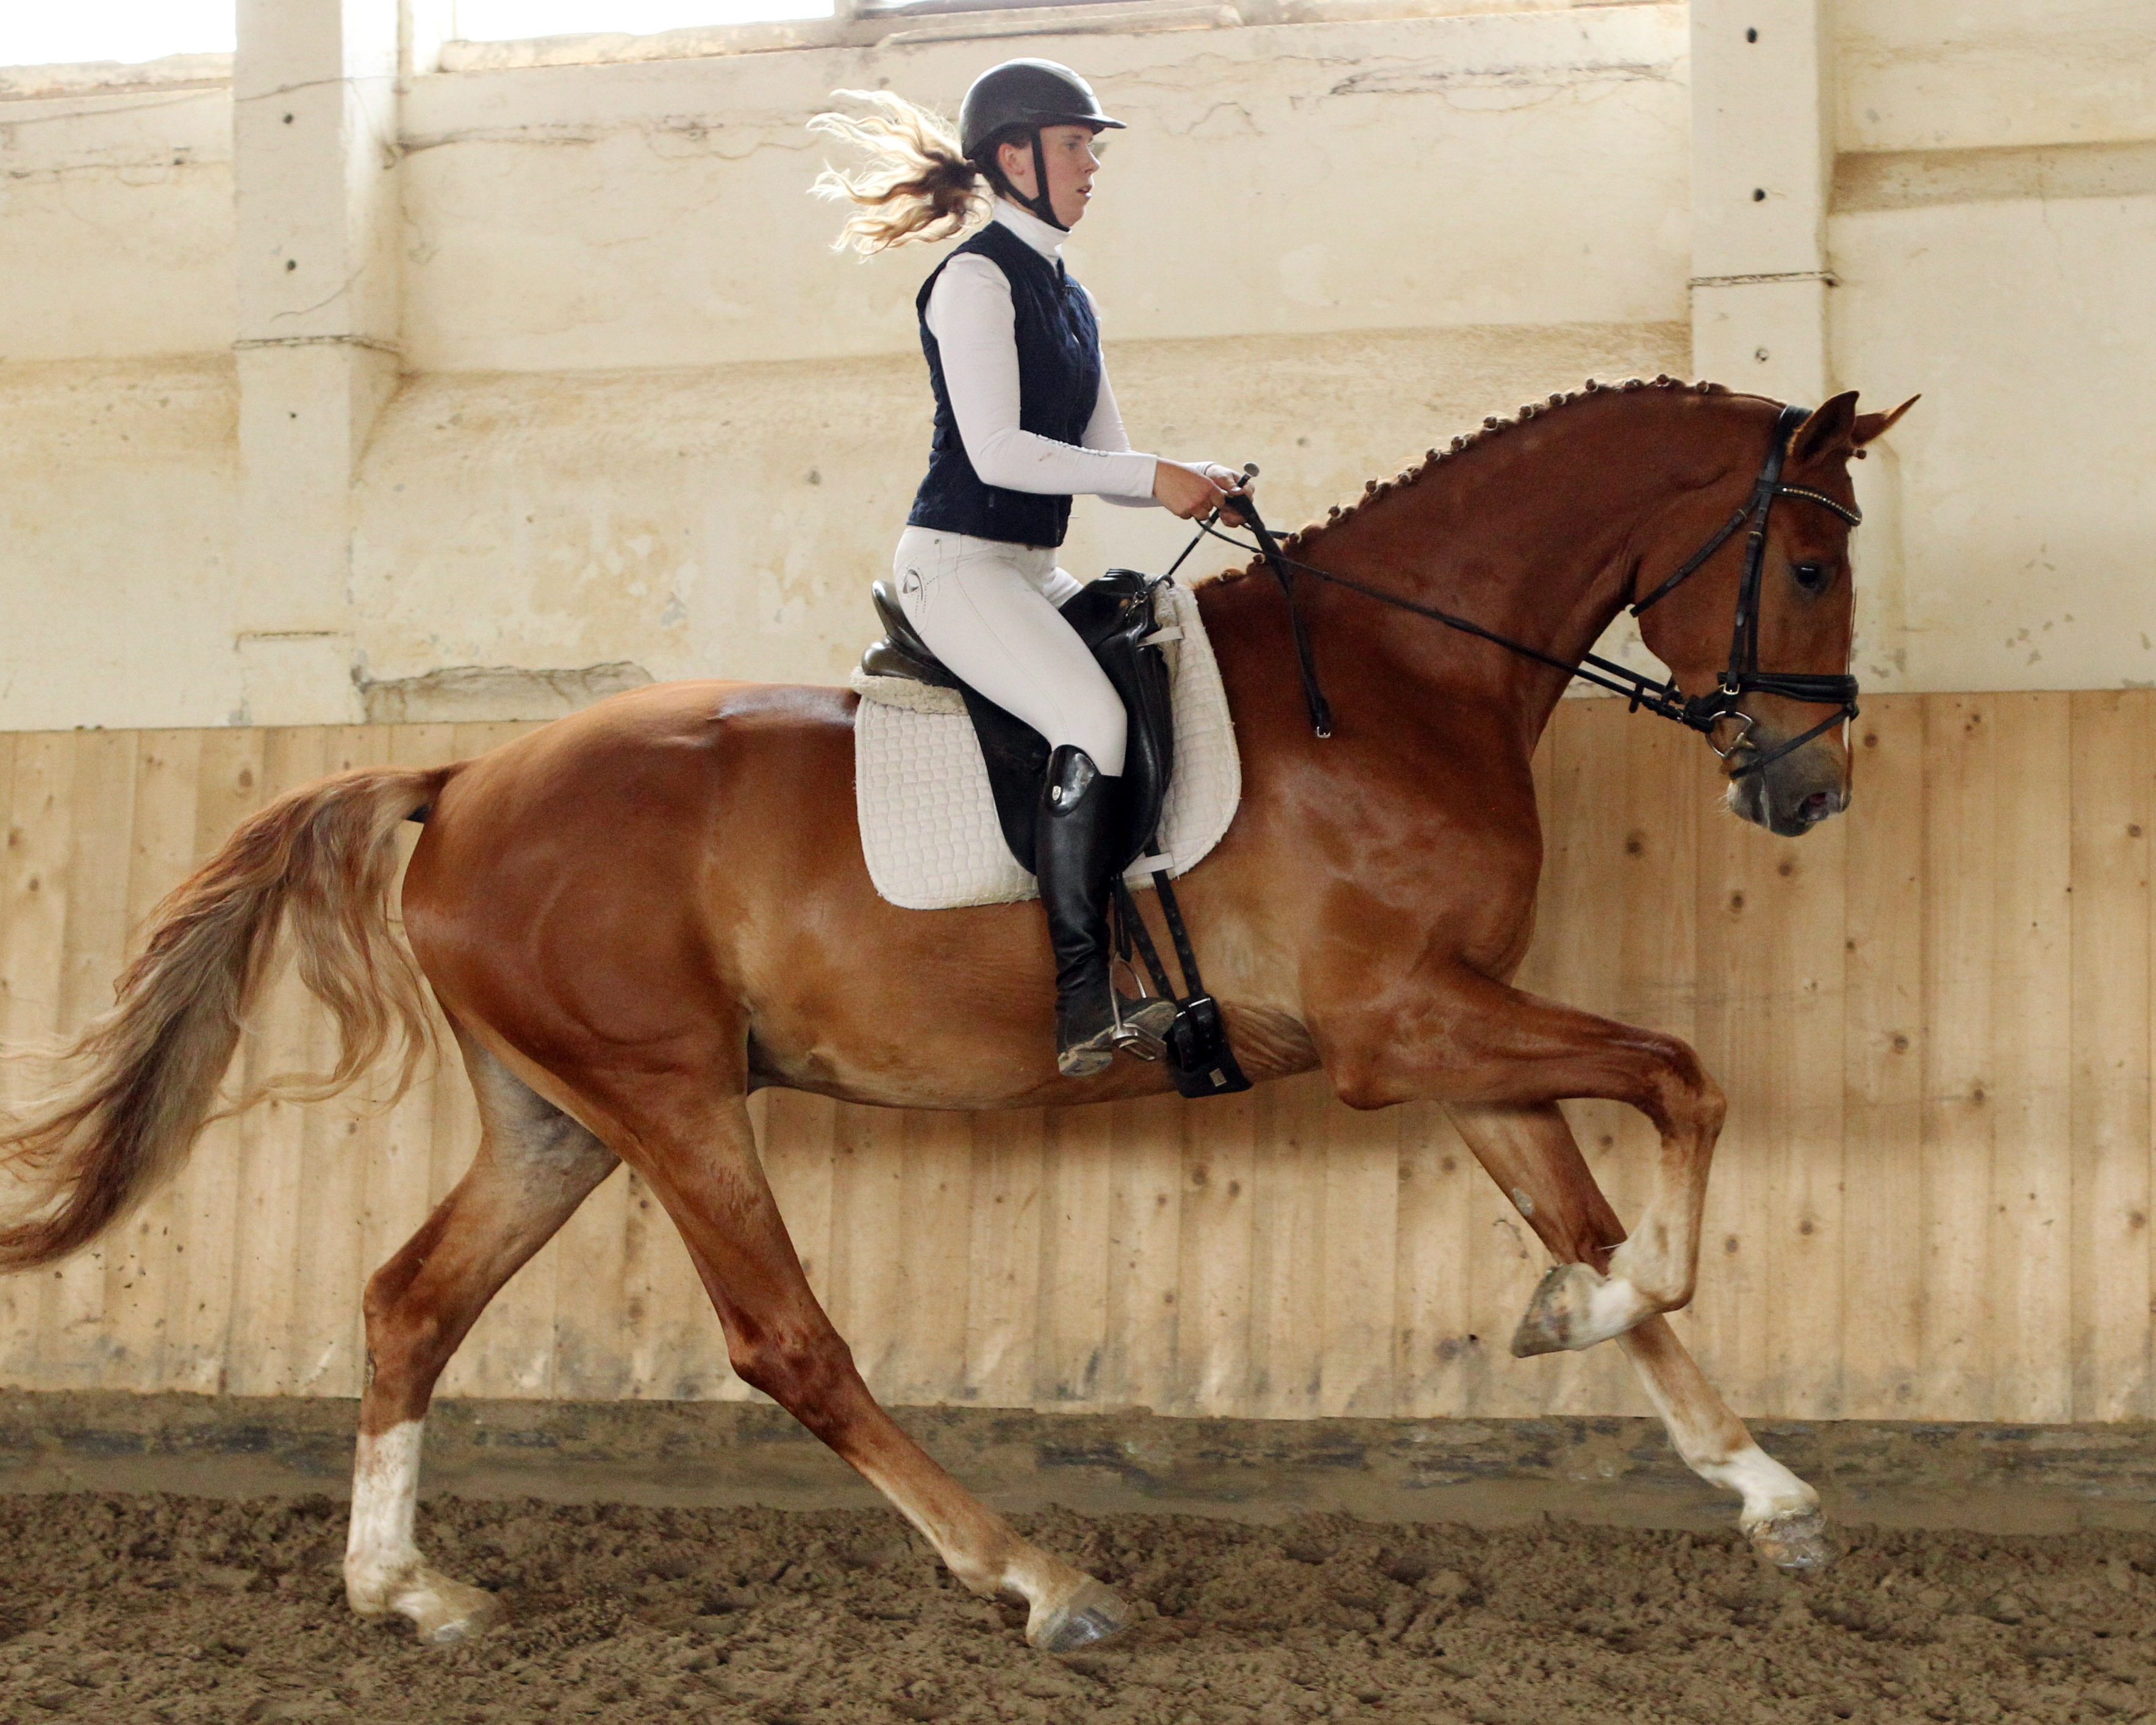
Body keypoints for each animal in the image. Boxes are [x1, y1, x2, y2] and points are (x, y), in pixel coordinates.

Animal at [0, 373, 1923, 1647]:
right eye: (1812, 569)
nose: (1810, 785)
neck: (1395, 676)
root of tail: (467, 776)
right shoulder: (1401, 1032)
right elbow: (1683, 1084)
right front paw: (1593, 1317)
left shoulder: (1455, 1033)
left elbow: (1597, 1200)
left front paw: (1743, 1472)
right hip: (673, 1099)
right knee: (787, 1343)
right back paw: (1040, 1580)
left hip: (562, 1115)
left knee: (411, 1300)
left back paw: (405, 1586)